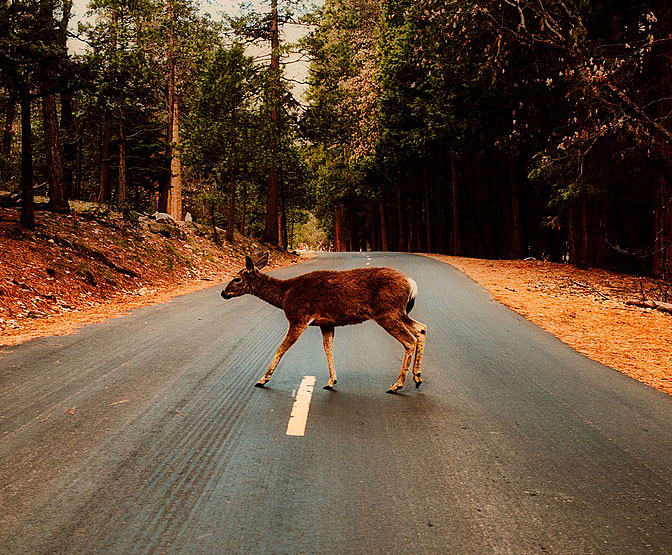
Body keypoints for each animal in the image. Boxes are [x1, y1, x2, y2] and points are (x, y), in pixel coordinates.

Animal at [223, 254, 428, 394]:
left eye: (237, 279)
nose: (223, 293)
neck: (284, 296)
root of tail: (412, 284)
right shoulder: (326, 323)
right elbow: (328, 348)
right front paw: (331, 381)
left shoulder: (299, 317)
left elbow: (281, 347)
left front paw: (262, 379)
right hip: (399, 312)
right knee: (421, 329)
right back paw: (417, 378)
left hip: (387, 312)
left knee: (409, 340)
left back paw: (396, 385)